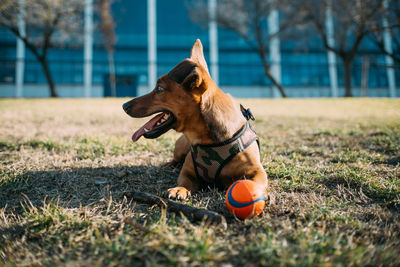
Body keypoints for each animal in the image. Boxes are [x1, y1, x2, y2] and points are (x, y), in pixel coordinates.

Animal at [121, 38, 266, 200]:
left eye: (159, 89)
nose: (124, 105)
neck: (207, 140)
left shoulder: (257, 170)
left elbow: (256, 182)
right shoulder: (188, 172)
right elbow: (184, 179)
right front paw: (179, 189)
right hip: (180, 147)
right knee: (176, 159)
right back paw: (169, 165)